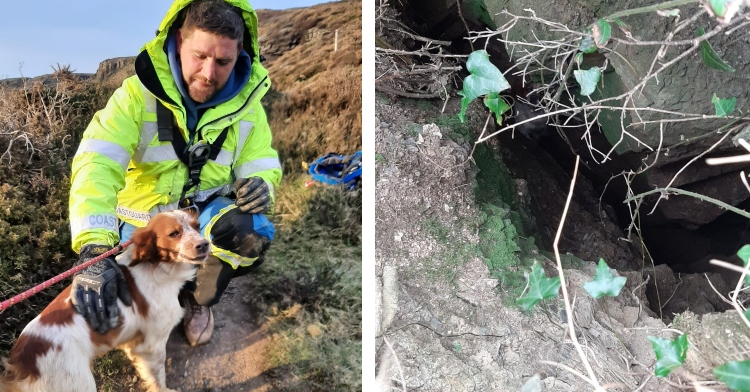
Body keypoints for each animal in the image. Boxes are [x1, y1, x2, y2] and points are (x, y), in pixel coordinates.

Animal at [1, 211, 212, 392]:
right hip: (79, 384)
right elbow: (158, 376)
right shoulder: (153, 344)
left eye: (197, 226)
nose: (204, 244)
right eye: (174, 233)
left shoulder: (134, 341)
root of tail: (20, 364)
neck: (157, 267)